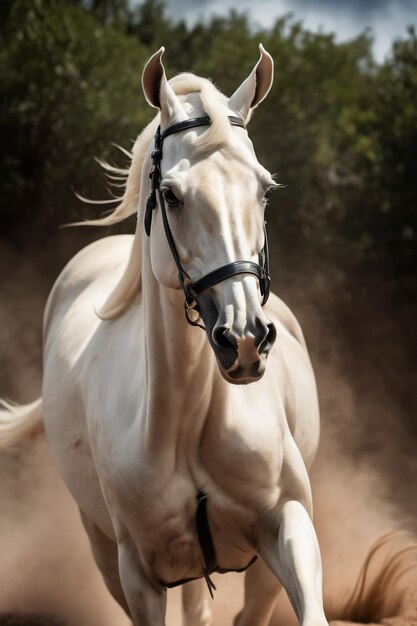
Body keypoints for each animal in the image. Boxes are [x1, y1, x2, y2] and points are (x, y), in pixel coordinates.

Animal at [0, 45, 324, 624]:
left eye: (264, 190)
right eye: (170, 195)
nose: (245, 339)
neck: (189, 424)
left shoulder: (287, 525)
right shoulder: (139, 574)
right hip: (101, 544)